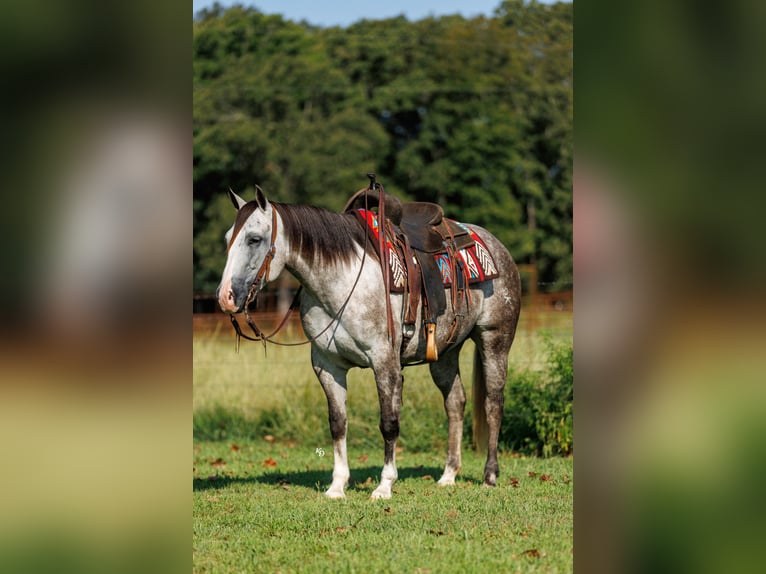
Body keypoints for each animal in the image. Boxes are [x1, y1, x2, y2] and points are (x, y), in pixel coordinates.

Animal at [216, 185, 521, 499]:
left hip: (495, 340)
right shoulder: (327, 366)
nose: (226, 297)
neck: (344, 281)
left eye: (254, 238)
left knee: (493, 404)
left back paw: (490, 476)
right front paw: (337, 486)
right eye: (228, 238)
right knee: (455, 402)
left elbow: (388, 423)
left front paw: (384, 485)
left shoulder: (384, 362)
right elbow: (338, 424)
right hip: (445, 352)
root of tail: (495, 245)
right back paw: (448, 475)